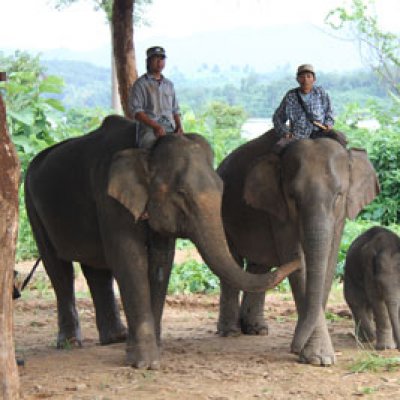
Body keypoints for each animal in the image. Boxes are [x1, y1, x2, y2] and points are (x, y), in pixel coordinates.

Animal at [22, 115, 296, 368]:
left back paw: (115, 338)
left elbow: (161, 261)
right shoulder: (109, 199)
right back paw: (71, 343)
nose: (297, 261)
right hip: (32, 205)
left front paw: (150, 348)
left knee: (96, 269)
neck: (147, 149)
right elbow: (129, 258)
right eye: (181, 193)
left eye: (221, 188)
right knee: (58, 269)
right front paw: (146, 363)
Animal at [217, 131, 380, 366]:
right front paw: (317, 358)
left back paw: (257, 330)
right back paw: (230, 332)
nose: (294, 347)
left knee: (259, 267)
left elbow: (329, 260)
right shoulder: (279, 209)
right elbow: (295, 259)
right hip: (222, 213)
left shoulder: (340, 216)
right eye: (293, 197)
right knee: (233, 260)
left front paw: (310, 353)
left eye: (339, 195)